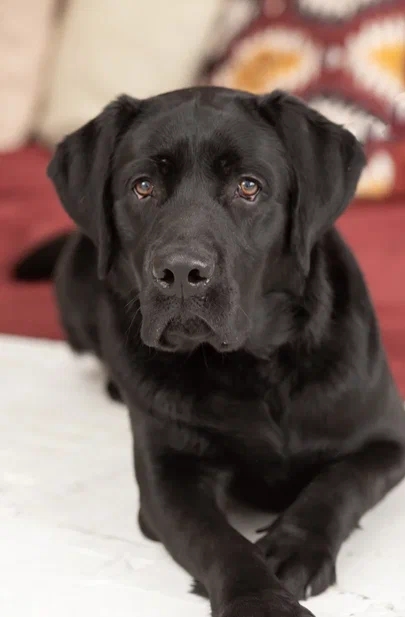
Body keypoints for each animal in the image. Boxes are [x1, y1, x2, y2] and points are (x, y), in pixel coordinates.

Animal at [48, 87, 405, 617]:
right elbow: (218, 540)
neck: (255, 367)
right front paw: (261, 600)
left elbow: (338, 484)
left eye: (248, 186)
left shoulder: (388, 439)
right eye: (142, 186)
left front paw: (293, 547)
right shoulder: (167, 477)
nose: (180, 272)